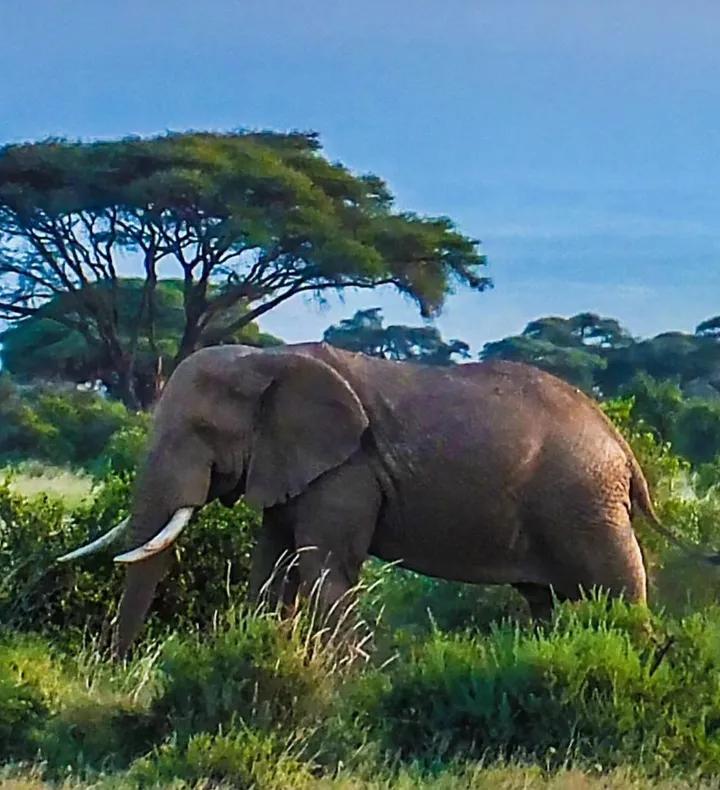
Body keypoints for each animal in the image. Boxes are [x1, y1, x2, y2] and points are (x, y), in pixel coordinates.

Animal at [59, 340, 712, 656]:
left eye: (199, 431)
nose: (115, 667)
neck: (267, 358)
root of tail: (622, 445)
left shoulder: (347, 470)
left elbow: (325, 569)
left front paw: (341, 678)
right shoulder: (292, 465)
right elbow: (271, 566)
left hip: (584, 503)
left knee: (618, 594)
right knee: (547, 602)